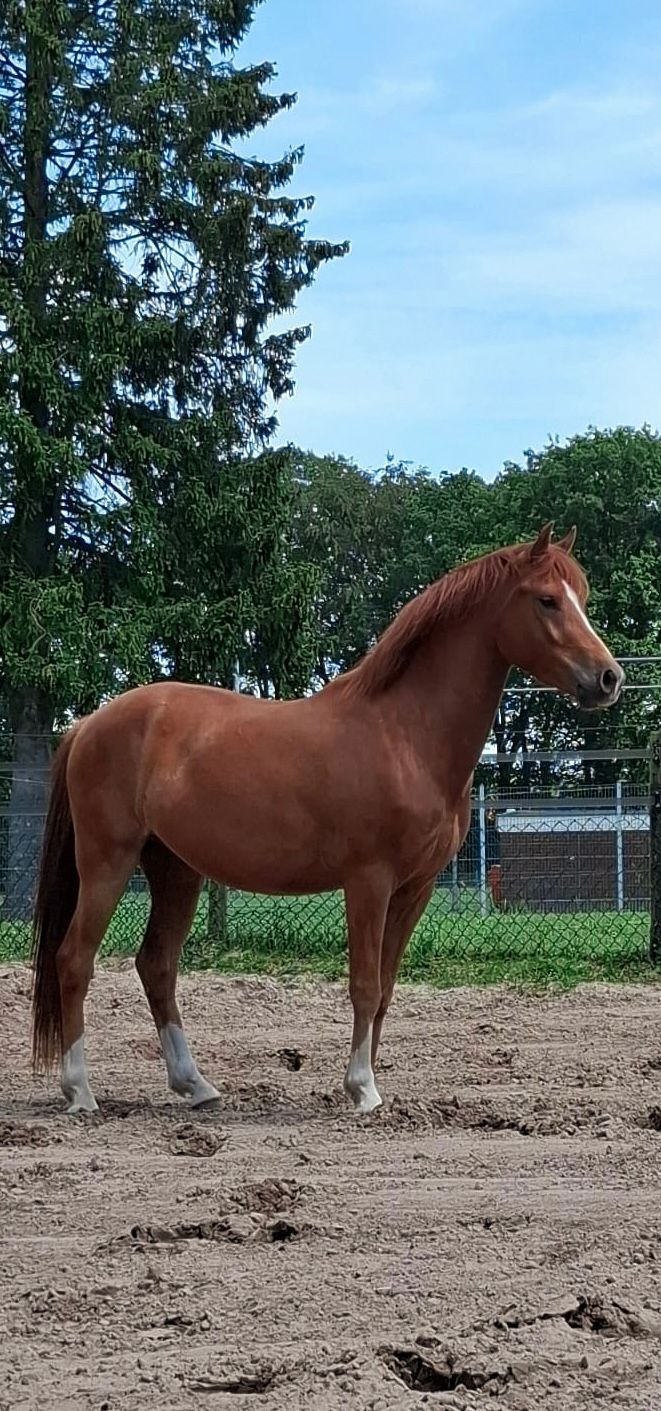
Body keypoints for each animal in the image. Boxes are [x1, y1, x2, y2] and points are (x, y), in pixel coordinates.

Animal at [31, 523, 624, 1116]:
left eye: (583, 598)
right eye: (546, 600)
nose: (609, 678)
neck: (404, 734)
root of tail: (89, 723)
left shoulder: (417, 888)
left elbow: (385, 987)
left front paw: (368, 1087)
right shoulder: (369, 881)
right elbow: (364, 984)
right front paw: (362, 1088)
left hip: (175, 869)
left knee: (157, 965)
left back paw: (195, 1085)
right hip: (107, 862)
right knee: (74, 959)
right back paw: (80, 1092)